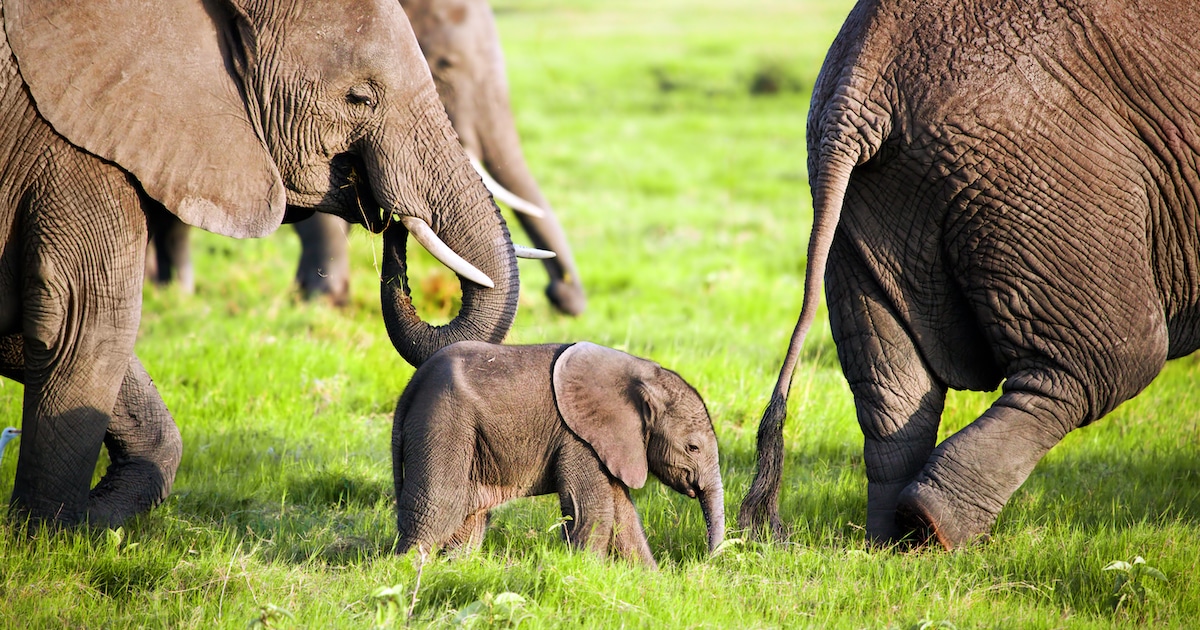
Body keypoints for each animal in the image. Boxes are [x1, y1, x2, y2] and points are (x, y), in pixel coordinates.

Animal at [0, 0, 526, 526]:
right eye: (360, 98)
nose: (392, 222)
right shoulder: (72, 146)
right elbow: (87, 321)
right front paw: (50, 535)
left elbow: (35, 330)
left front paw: (88, 520)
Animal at [393, 341, 724, 568]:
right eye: (693, 447)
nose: (704, 562)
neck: (642, 373)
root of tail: (411, 388)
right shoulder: (579, 438)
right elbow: (593, 510)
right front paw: (588, 573)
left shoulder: (609, 443)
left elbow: (623, 514)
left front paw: (650, 582)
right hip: (443, 421)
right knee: (438, 508)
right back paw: (406, 572)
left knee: (468, 517)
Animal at [738, 0, 1200, 550]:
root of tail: (861, 77)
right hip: (1042, 173)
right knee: (1107, 361)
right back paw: (934, 525)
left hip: (866, 201)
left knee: (891, 385)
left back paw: (895, 541)